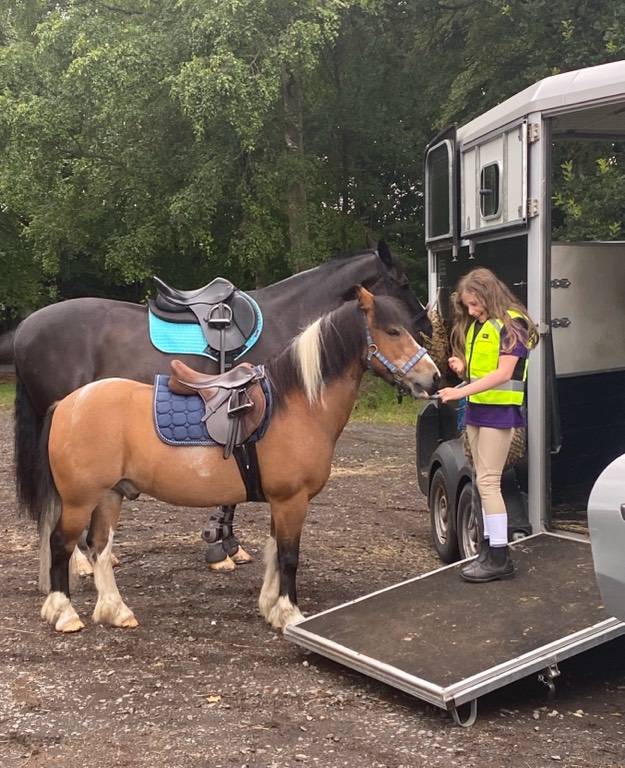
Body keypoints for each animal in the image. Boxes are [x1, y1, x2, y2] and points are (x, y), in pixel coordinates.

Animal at [32, 287, 440, 634]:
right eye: (392, 331)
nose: (433, 378)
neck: (298, 403)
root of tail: (67, 403)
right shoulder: (291, 500)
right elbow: (288, 556)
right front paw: (290, 613)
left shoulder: (281, 502)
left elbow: (274, 552)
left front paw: (271, 607)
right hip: (79, 500)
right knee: (61, 544)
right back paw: (64, 613)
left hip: (110, 495)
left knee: (100, 546)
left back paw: (116, 611)